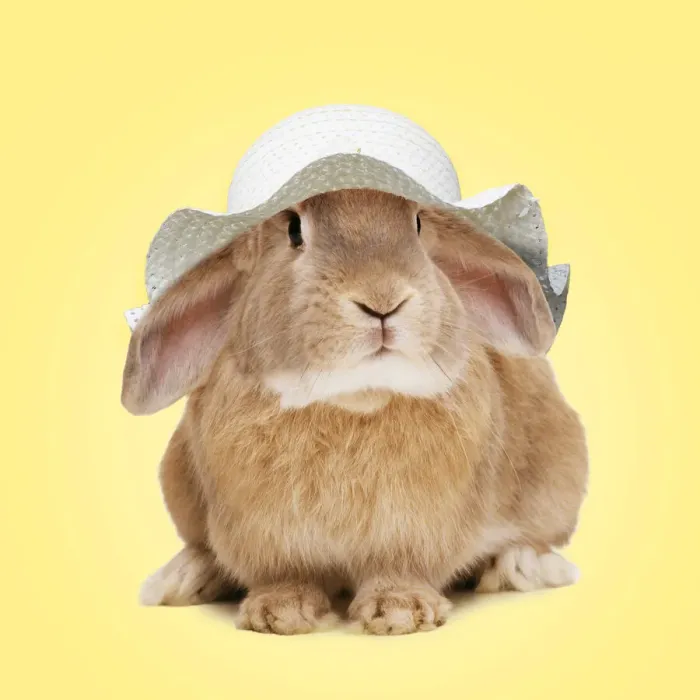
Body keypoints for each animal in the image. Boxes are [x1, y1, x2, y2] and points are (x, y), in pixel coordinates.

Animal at [122, 189, 588, 635]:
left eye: (418, 224)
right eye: (293, 230)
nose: (382, 299)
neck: (357, 398)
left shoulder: (414, 533)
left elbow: (400, 570)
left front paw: (400, 613)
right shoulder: (269, 539)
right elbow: (284, 575)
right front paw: (278, 613)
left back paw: (521, 565)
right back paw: (183, 577)